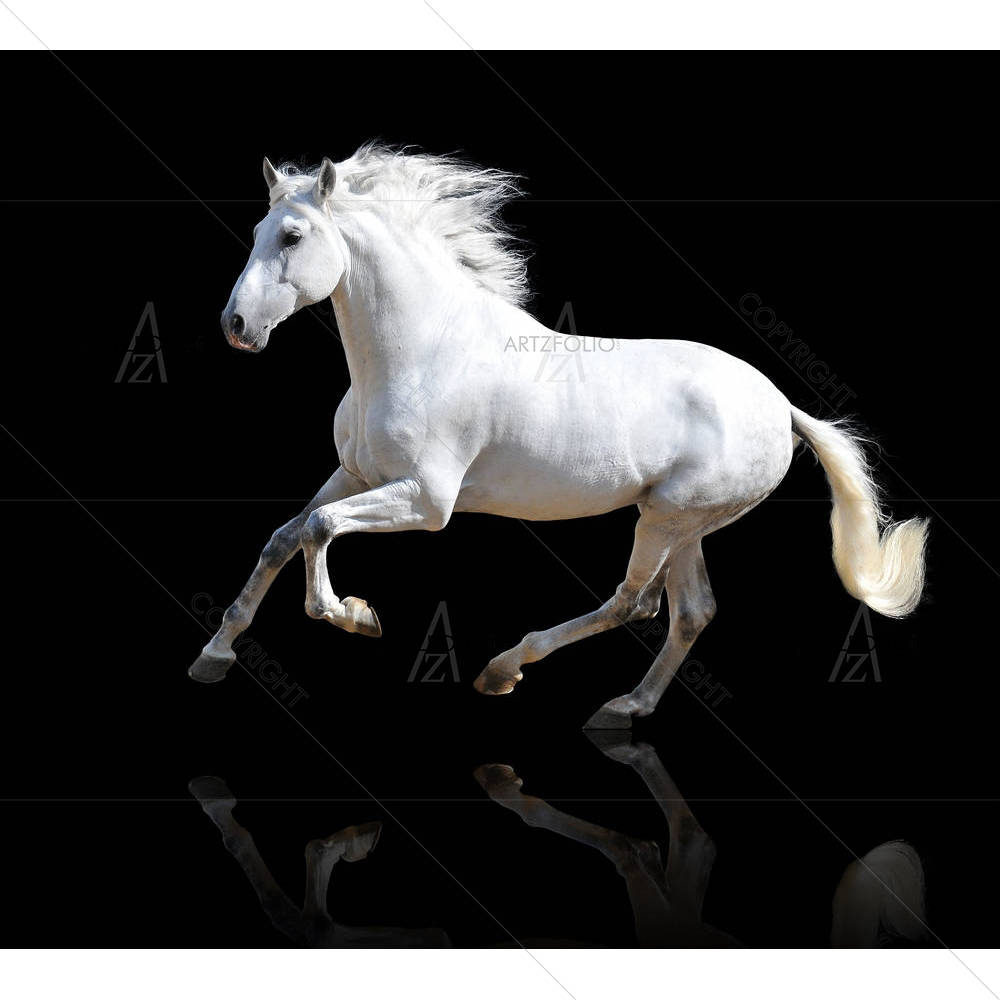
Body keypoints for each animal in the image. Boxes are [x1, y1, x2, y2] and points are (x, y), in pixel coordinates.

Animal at [188, 143, 928, 728]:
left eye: (291, 237)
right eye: (257, 228)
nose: (236, 326)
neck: (420, 352)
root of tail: (781, 407)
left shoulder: (426, 501)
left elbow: (318, 532)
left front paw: (355, 615)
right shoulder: (356, 475)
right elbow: (284, 536)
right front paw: (213, 656)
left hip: (667, 517)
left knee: (634, 602)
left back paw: (505, 670)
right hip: (686, 523)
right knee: (690, 611)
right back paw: (626, 708)